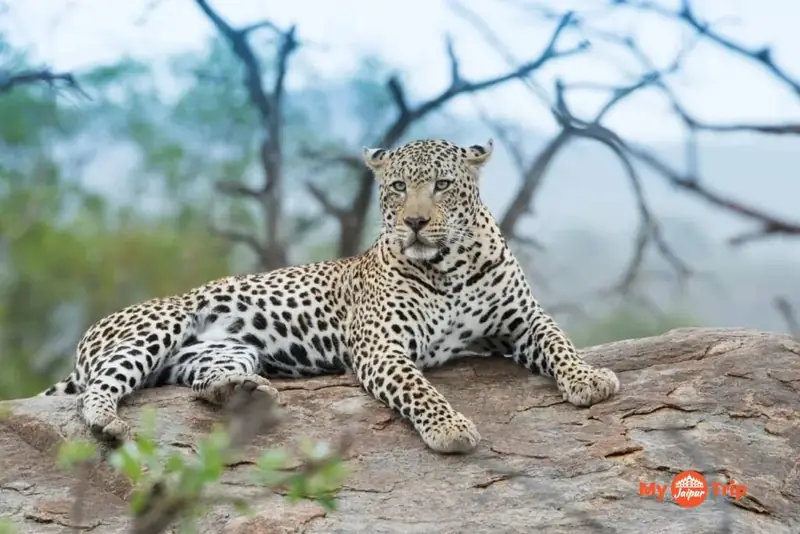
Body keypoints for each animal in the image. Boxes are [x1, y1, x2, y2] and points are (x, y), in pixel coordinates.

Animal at [40, 138, 620, 454]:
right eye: (396, 188)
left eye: (442, 185)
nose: (414, 222)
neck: (449, 266)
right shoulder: (382, 346)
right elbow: (419, 388)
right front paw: (449, 427)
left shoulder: (522, 320)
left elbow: (560, 341)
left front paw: (590, 378)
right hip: (157, 326)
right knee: (99, 389)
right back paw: (109, 422)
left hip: (220, 352)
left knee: (202, 384)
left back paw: (243, 394)